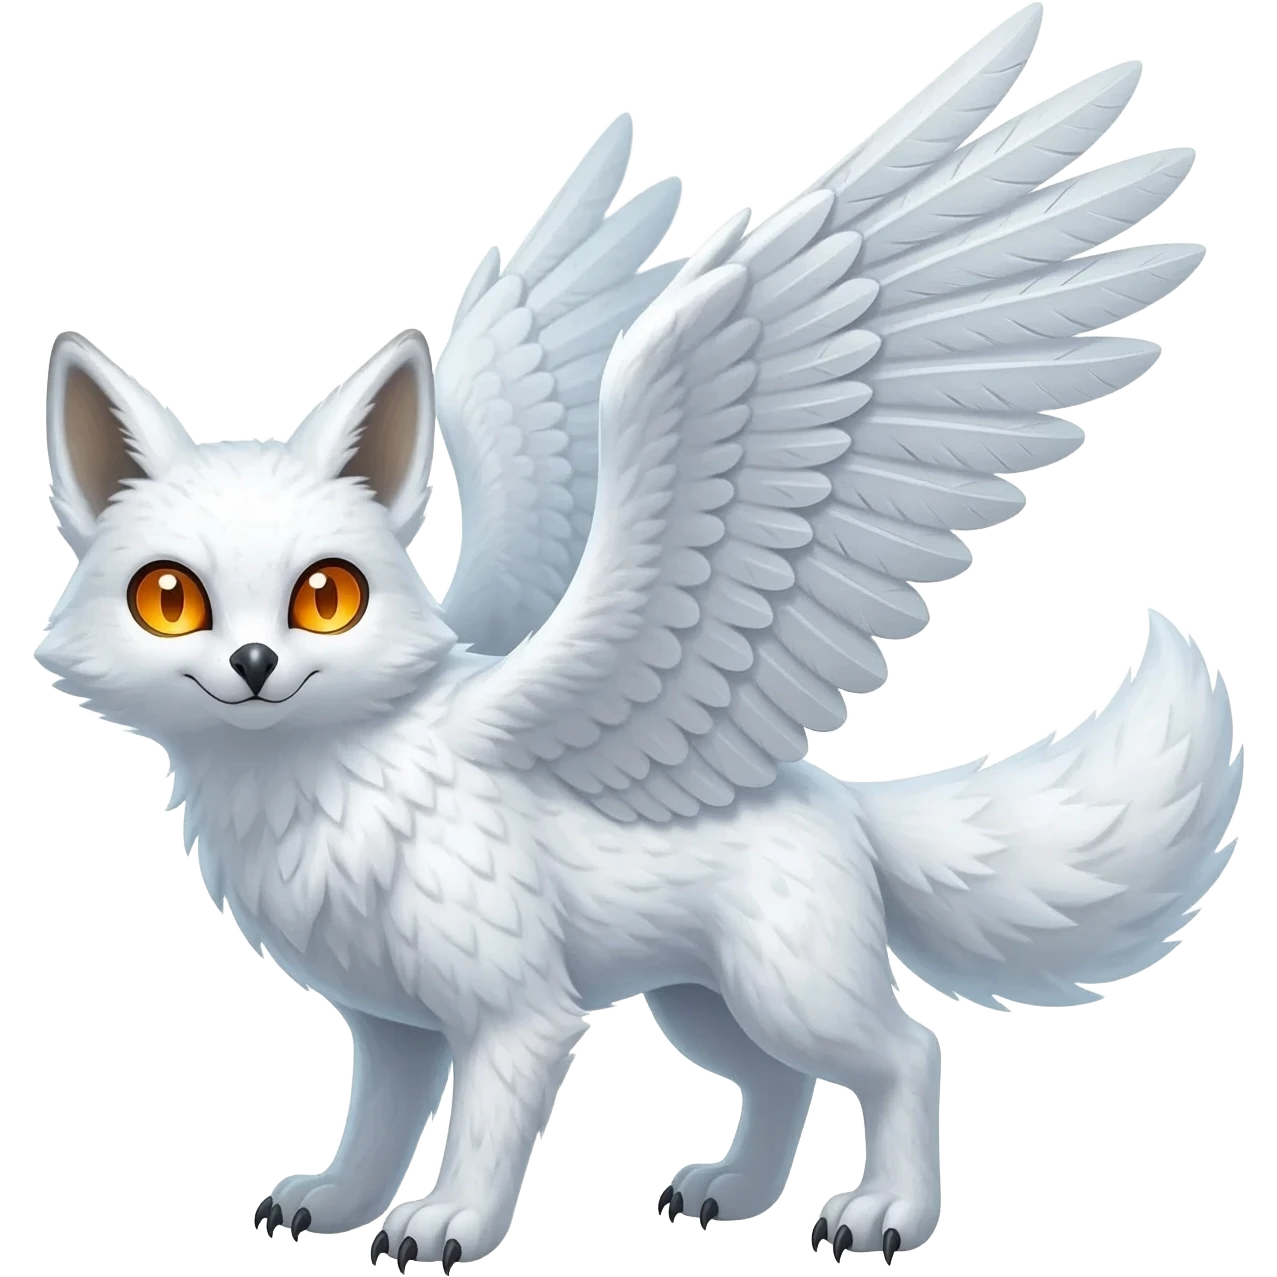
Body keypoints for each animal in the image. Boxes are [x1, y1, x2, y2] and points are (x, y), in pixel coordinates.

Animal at [35, 5, 1242, 1270]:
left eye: (325, 596)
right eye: (172, 598)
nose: (255, 665)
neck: (326, 780)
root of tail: (828, 795)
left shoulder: (513, 1004)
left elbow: (481, 1126)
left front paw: (448, 1223)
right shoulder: (389, 1021)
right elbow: (374, 1124)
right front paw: (335, 1200)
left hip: (782, 981)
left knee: (907, 1051)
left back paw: (884, 1212)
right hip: (697, 1000)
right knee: (779, 1082)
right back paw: (735, 1190)